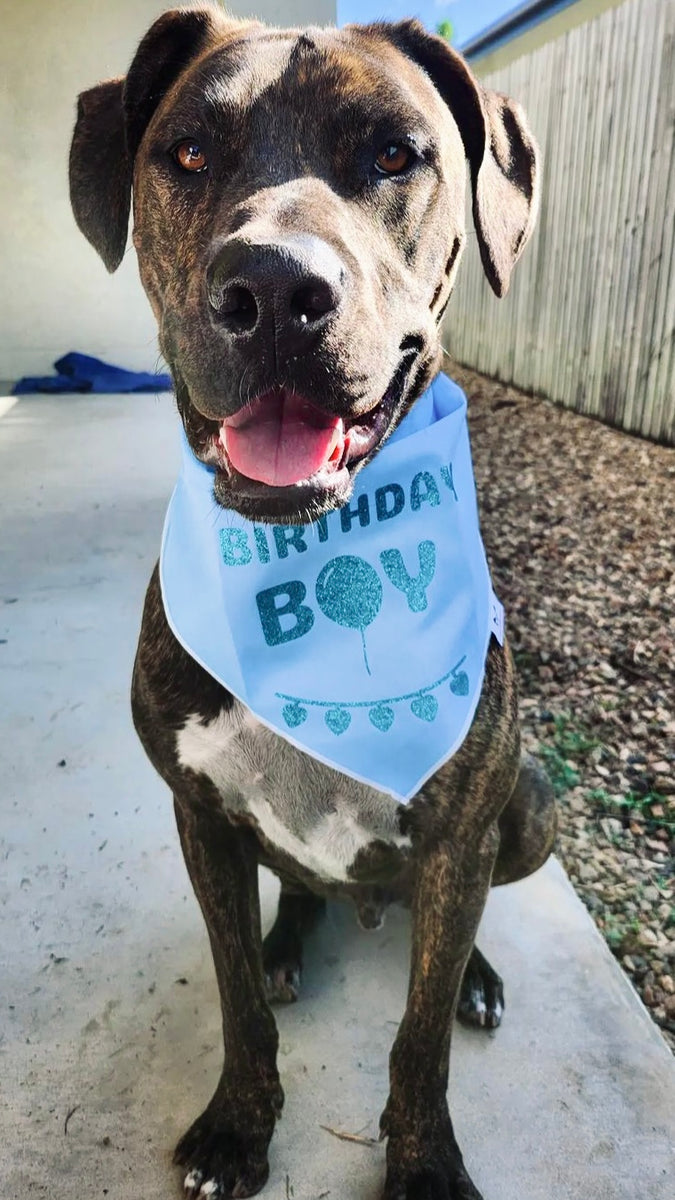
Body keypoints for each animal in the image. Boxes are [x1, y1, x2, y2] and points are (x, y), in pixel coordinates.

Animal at [68, 9, 554, 1200]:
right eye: (189, 152)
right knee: (294, 896)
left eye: (394, 154)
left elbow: (417, 1039)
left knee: (459, 917)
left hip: (527, 807)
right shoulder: (199, 815)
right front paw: (239, 1126)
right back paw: (293, 945)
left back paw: (473, 972)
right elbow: (237, 997)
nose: (277, 291)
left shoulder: (463, 826)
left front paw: (424, 1165)